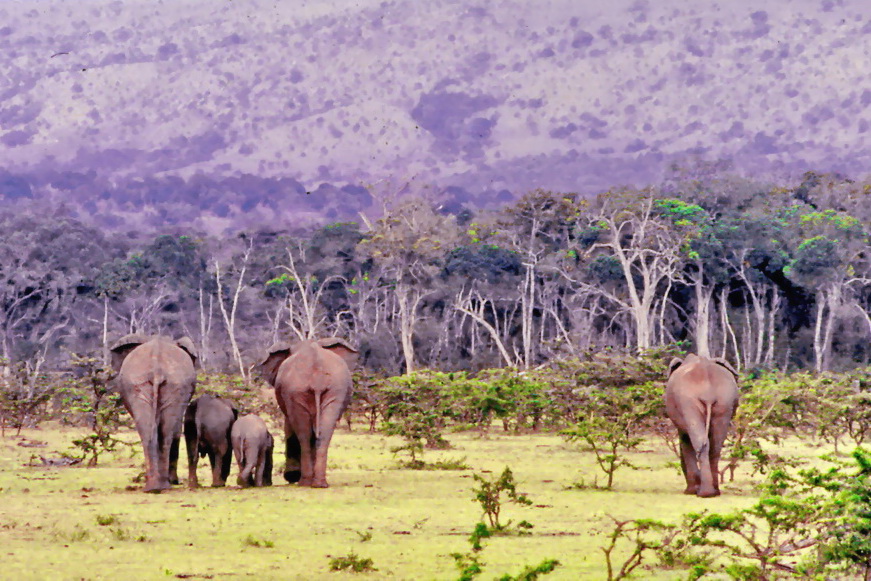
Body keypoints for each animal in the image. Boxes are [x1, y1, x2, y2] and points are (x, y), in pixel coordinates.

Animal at [110, 334, 198, 492]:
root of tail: (157, 369)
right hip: (159, 385)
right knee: (161, 430)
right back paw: (159, 485)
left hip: (157, 386)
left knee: (155, 430)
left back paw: (157, 486)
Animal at [258, 338, 358, 488]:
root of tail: (317, 377)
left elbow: (289, 426)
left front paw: (292, 477)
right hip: (331, 389)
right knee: (320, 433)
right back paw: (318, 484)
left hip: (302, 390)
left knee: (304, 433)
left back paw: (305, 482)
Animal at [664, 354, 740, 498]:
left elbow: (685, 440)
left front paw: (689, 491)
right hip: (725, 401)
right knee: (715, 445)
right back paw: (714, 491)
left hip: (688, 401)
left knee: (699, 441)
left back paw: (703, 493)